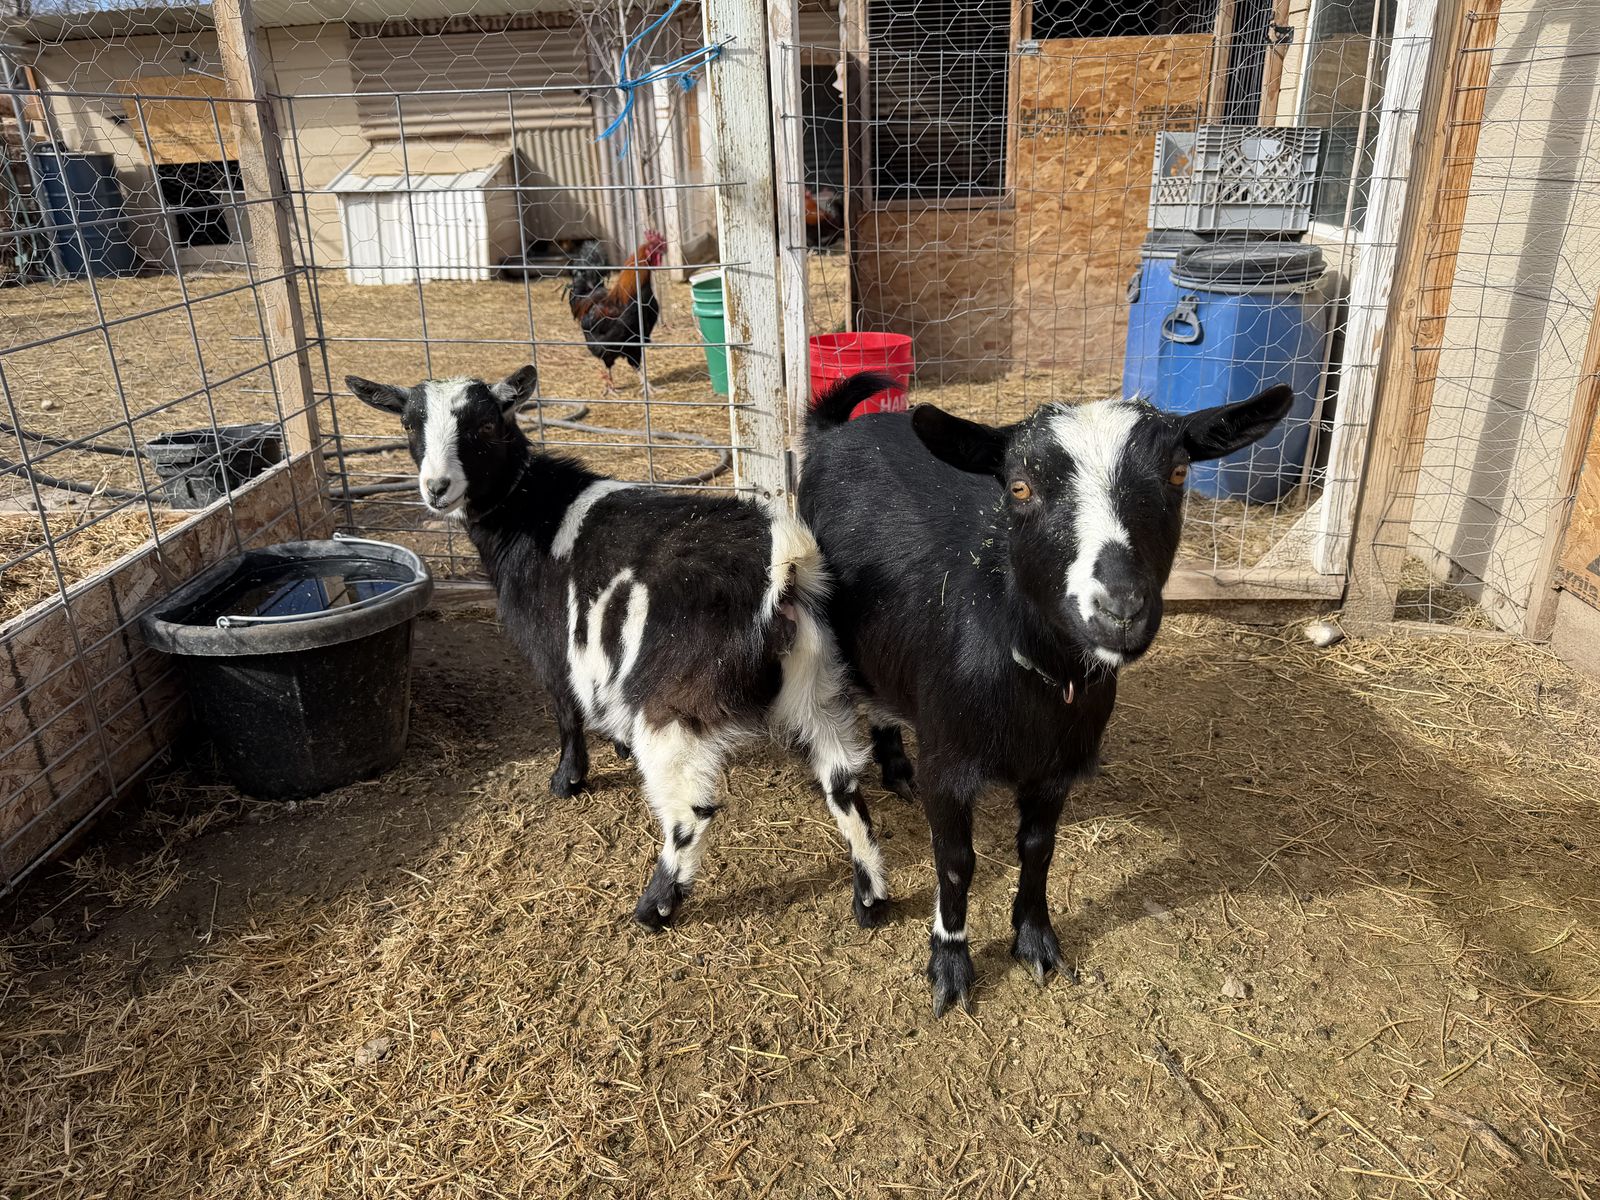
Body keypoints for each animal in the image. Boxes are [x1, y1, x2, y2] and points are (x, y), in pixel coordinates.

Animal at [346, 365, 887, 930]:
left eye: (485, 426)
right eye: (408, 425)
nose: (437, 489)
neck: (533, 511)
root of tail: (781, 570)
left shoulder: (554, 647)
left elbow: (567, 712)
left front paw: (568, 779)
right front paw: (616, 746)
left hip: (674, 702)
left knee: (691, 809)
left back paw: (655, 906)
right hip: (817, 680)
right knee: (843, 780)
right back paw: (870, 897)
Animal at [797, 372, 1292, 1015]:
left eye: (1180, 473)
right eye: (1021, 486)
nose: (1119, 609)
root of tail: (833, 430)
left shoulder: (1057, 766)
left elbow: (1038, 847)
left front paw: (1034, 940)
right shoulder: (949, 763)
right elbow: (955, 863)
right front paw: (949, 963)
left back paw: (897, 769)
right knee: (837, 772)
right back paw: (867, 885)